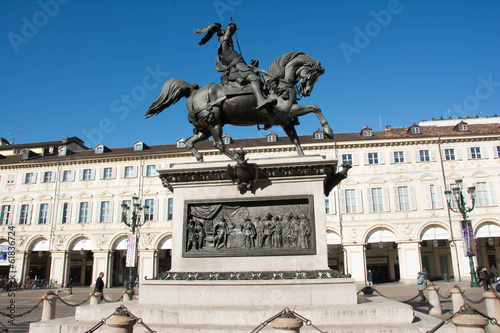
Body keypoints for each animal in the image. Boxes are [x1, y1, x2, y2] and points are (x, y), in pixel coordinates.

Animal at [145, 51, 332, 161]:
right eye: (312, 75)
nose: (306, 91)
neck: (278, 84)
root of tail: (193, 92)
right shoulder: (289, 111)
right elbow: (315, 107)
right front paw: (328, 131)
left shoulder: (285, 120)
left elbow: (295, 139)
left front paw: (302, 156)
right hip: (214, 121)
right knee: (218, 144)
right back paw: (236, 158)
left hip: (205, 127)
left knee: (190, 142)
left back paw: (200, 160)